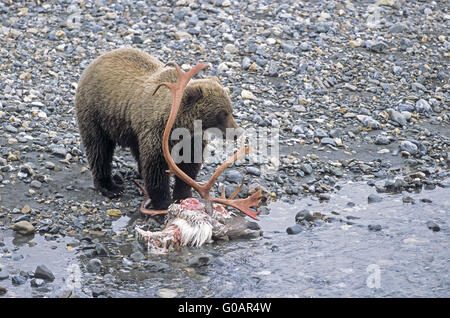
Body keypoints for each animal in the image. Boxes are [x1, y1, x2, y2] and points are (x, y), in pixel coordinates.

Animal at [74, 47, 239, 211]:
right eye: (222, 113)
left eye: (231, 110)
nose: (236, 133)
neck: (182, 123)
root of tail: (97, 60)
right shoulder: (158, 132)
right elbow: (156, 167)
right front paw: (163, 202)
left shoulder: (192, 139)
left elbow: (189, 165)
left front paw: (183, 195)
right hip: (96, 112)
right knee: (99, 148)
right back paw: (110, 186)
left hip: (131, 129)